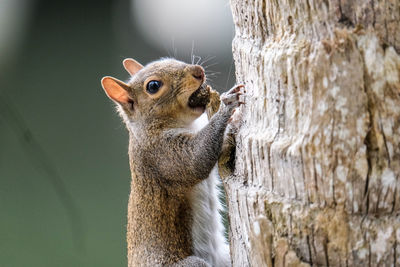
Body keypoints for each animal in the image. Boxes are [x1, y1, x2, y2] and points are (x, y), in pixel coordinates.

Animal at [100, 57, 244, 266]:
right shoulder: (162, 154)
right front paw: (227, 105)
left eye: (172, 60)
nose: (198, 71)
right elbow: (196, 160)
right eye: (153, 86)